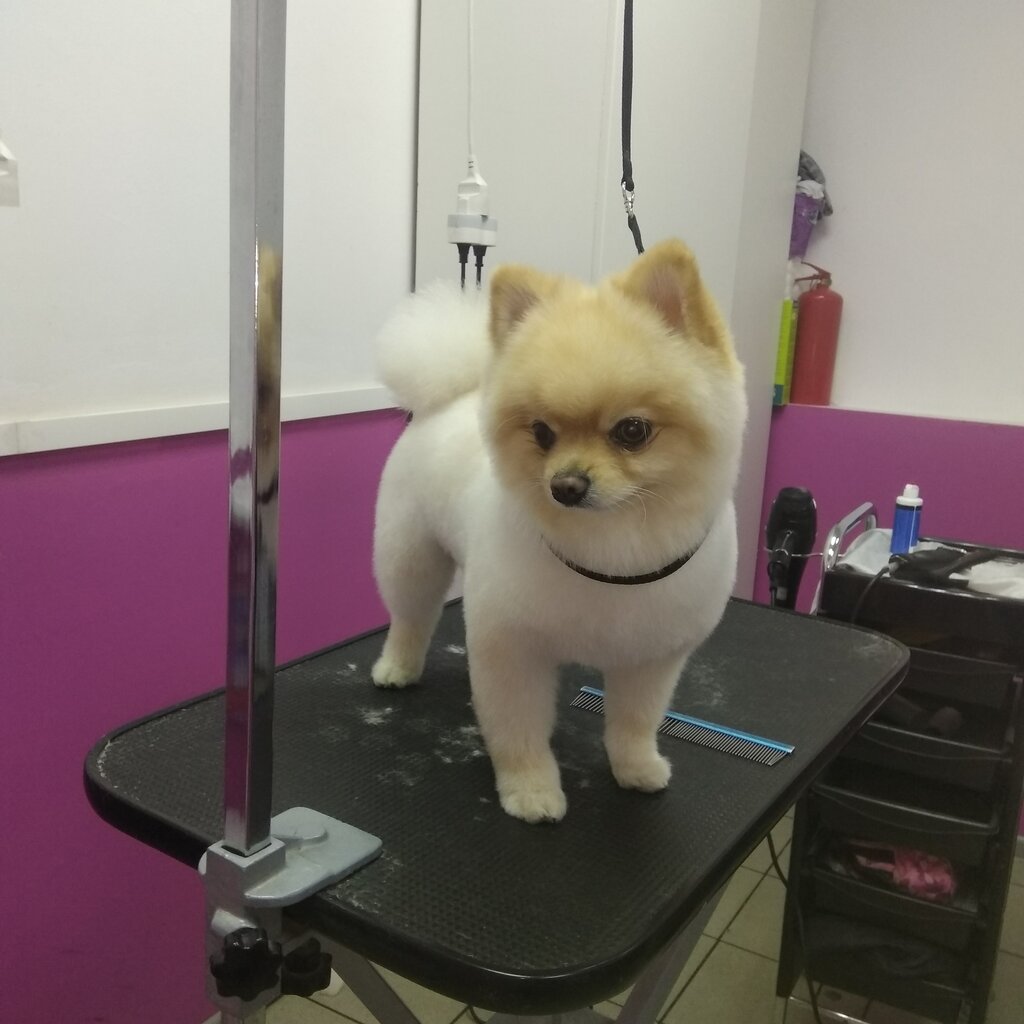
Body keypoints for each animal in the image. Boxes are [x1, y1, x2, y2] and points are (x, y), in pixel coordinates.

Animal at [371, 239, 747, 823]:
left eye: (632, 431)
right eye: (542, 433)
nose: (565, 485)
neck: (614, 545)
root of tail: (451, 399)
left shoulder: (651, 657)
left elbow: (634, 723)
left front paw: (636, 768)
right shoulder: (512, 648)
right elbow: (518, 730)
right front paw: (530, 791)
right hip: (411, 555)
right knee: (411, 616)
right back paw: (397, 667)